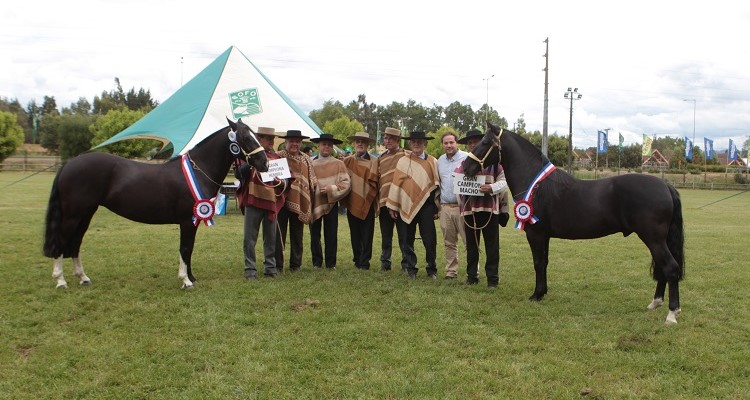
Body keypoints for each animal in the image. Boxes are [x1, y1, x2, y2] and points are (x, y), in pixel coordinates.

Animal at [42, 117, 268, 290]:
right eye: (245, 137)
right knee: (62, 242)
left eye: (255, 135)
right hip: (73, 215)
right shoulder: (188, 221)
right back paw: (61, 281)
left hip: (86, 214)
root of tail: (69, 163)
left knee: (75, 243)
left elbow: (189, 249)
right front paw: (186, 281)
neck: (198, 170)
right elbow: (185, 248)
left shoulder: (193, 220)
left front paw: (191, 277)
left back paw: (83, 278)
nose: (264, 163)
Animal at [464, 123, 688, 324]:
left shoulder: (536, 234)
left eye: (485, 142)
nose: (467, 167)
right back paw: (655, 303)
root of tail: (666, 185)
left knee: (670, 267)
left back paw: (671, 314)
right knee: (663, 268)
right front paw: (542, 293)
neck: (537, 186)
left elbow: (538, 263)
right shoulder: (545, 236)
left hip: (653, 239)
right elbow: (544, 262)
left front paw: (536, 295)